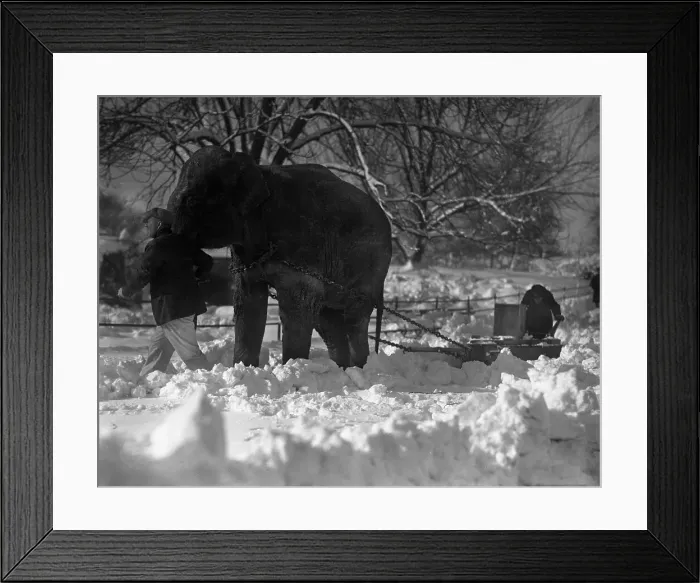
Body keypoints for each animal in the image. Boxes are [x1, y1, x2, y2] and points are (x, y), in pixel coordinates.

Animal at [166, 146, 393, 369]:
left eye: (192, 202)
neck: (258, 170)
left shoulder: (302, 244)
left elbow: (296, 303)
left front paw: (293, 367)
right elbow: (248, 301)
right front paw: (245, 368)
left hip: (371, 264)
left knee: (354, 316)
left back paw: (360, 368)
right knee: (328, 318)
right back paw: (342, 369)